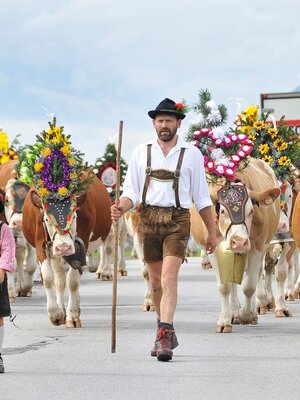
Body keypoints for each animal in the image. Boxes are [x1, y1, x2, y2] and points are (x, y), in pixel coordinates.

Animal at [0, 159, 36, 300]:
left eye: (28, 202)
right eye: (6, 200)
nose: (19, 223)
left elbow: (30, 265)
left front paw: (25, 287)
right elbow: (10, 262)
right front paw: (10, 292)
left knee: (20, 255)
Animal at [22, 173, 111, 326]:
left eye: (74, 216)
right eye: (46, 219)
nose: (63, 247)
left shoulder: (81, 243)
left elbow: (73, 281)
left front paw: (73, 315)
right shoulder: (41, 244)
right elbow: (48, 278)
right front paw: (55, 313)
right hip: (55, 255)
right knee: (59, 280)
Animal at [191, 158, 280, 332]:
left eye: (251, 211)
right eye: (222, 211)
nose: (239, 242)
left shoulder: (257, 246)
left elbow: (249, 285)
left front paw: (246, 315)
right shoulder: (212, 249)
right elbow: (224, 286)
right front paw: (225, 321)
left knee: (258, 274)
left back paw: (252, 310)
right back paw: (233, 311)